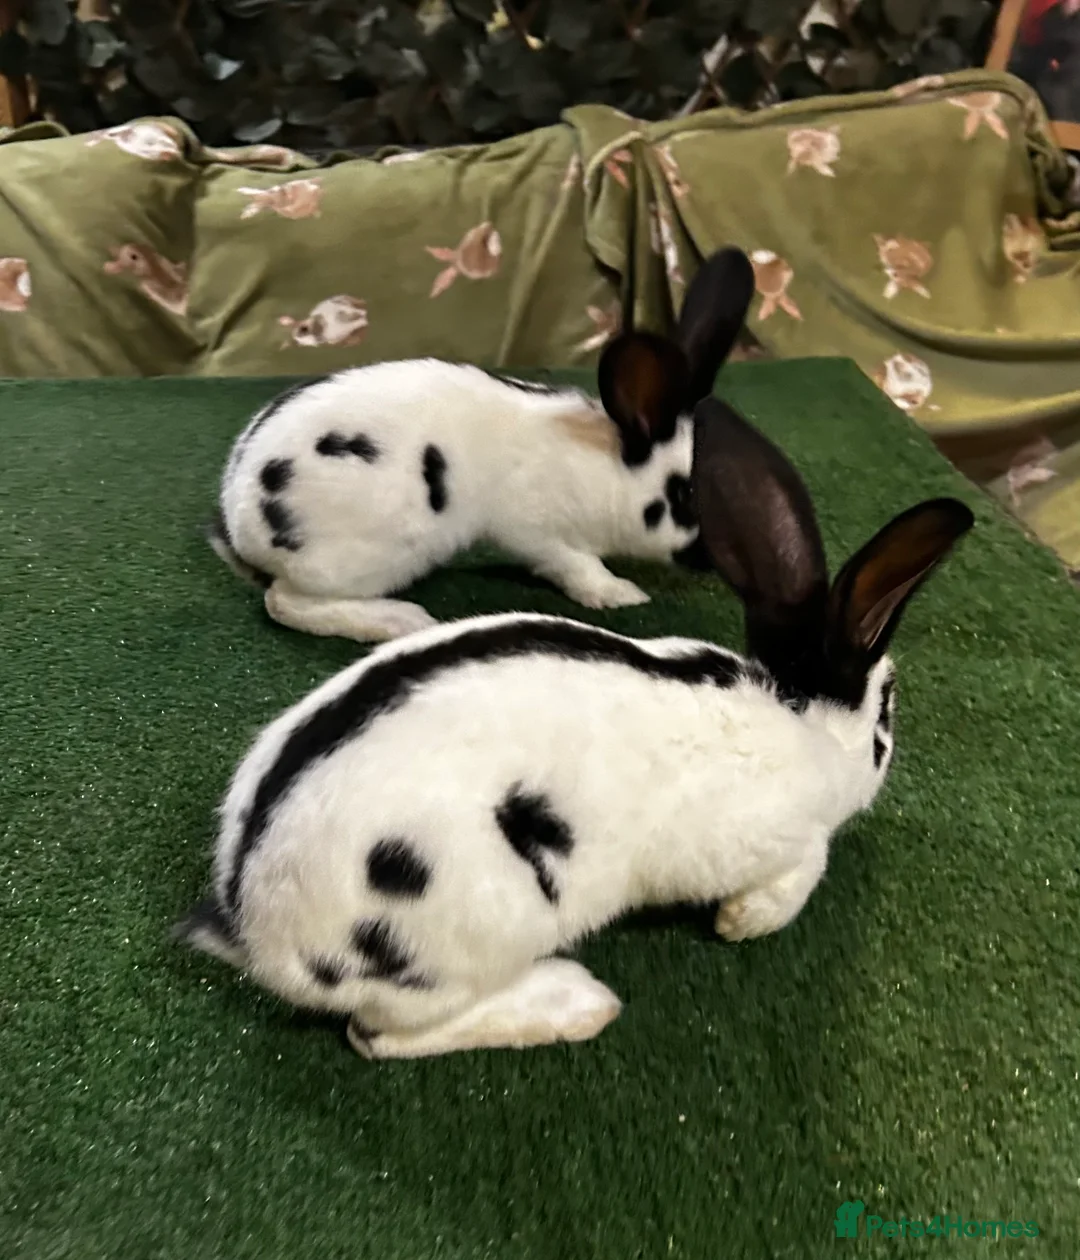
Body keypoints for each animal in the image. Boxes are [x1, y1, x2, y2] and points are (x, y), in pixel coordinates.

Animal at [175, 393, 975, 1060]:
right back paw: (576, 1002)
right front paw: (745, 921)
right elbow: (798, 877)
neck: (798, 713)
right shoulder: (780, 840)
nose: (888, 752)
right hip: (470, 939)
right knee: (379, 1037)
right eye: (887, 713)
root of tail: (254, 930)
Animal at [207, 246, 756, 643]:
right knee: (284, 602)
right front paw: (621, 594)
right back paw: (401, 621)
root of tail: (240, 523)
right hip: (364, 553)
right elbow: (577, 567)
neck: (604, 466)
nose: (714, 560)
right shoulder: (541, 533)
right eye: (686, 494)